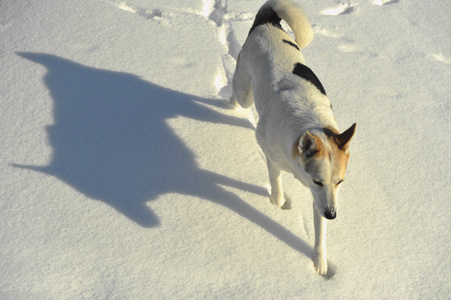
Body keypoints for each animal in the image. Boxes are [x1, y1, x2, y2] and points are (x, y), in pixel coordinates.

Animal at [231, 0, 358, 276]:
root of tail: (267, 20)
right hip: (245, 90)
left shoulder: (321, 199)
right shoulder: (274, 159)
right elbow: (277, 188)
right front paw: (278, 206)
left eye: (340, 182)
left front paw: (320, 262)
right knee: (236, 94)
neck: (309, 124)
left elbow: (320, 233)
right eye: (318, 180)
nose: (333, 215)